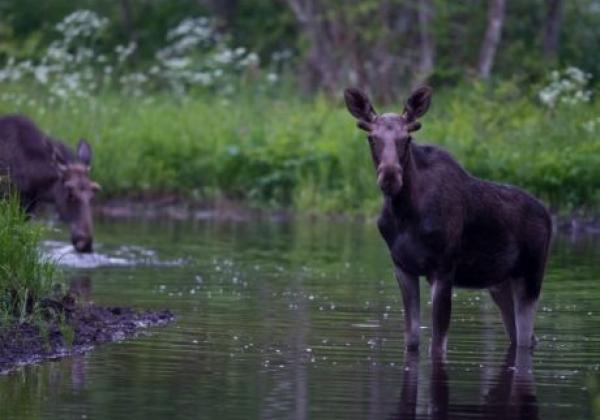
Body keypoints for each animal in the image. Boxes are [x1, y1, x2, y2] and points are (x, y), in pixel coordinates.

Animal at [344, 86, 552, 354]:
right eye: (371, 138)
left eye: (407, 139)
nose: (390, 176)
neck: (404, 213)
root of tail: (548, 215)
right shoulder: (403, 268)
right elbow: (411, 340)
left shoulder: (443, 270)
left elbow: (437, 345)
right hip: (500, 284)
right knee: (522, 336)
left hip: (531, 276)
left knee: (526, 338)